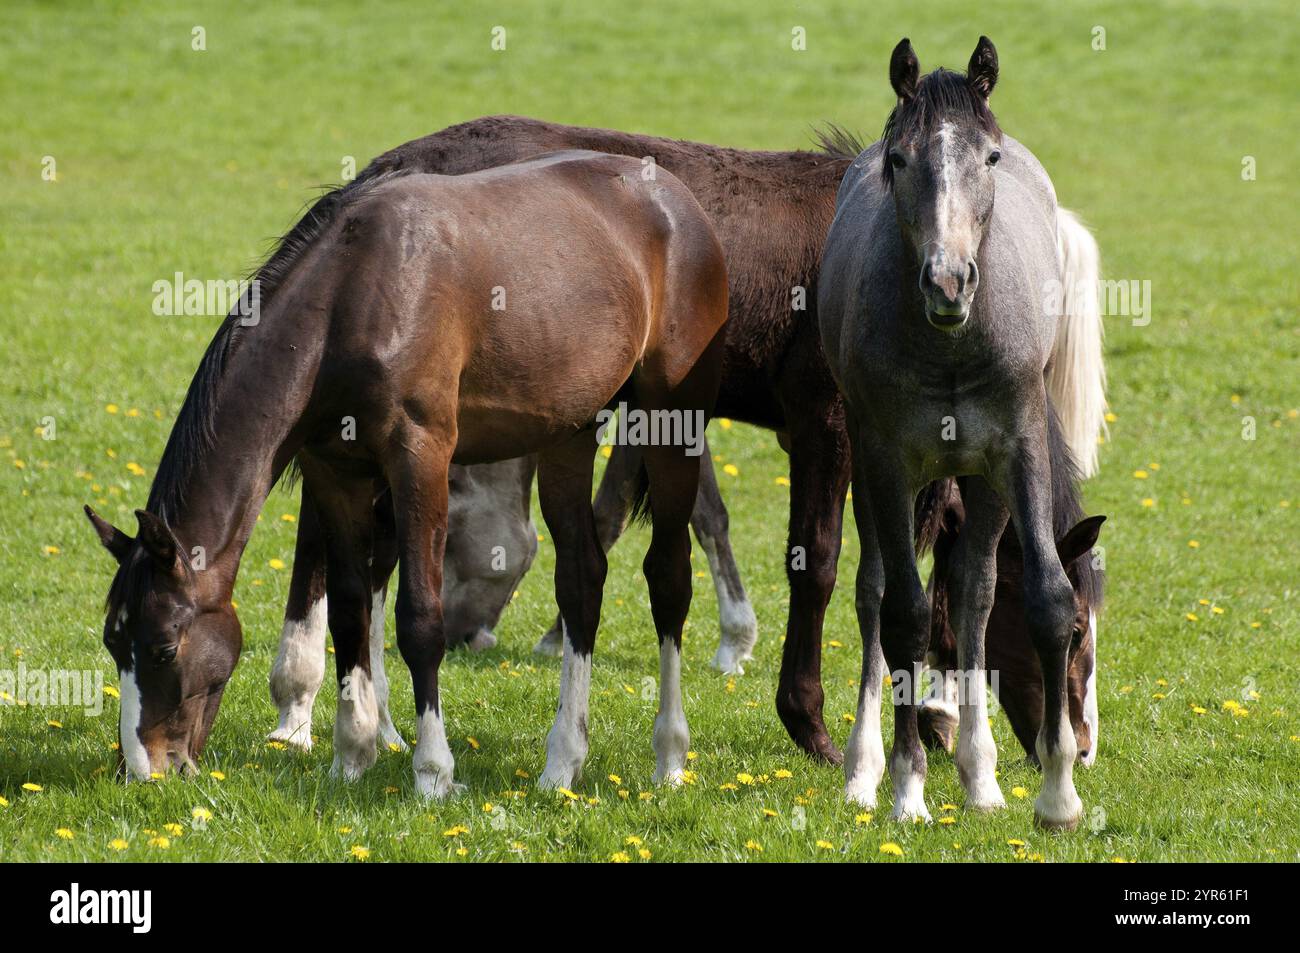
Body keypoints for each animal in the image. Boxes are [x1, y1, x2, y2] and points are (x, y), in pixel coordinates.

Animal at [86, 152, 728, 795]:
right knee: (580, 579)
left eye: (164, 648)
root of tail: (677, 201)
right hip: (567, 436)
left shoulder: (420, 458)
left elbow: (419, 619)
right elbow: (349, 610)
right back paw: (562, 761)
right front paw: (351, 756)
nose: (141, 770)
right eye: (114, 642)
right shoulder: (336, 473)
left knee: (669, 578)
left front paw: (433, 772)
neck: (351, 297)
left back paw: (670, 757)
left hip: (671, 426)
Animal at [263, 113, 1107, 764]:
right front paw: (814, 724)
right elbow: (822, 562)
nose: (1080, 747)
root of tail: (380, 175)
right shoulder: (827, 427)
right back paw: (311, 711)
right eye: (1074, 635)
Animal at [821, 39, 1097, 826]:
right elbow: (905, 613)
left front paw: (1057, 796)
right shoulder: (886, 461)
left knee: (974, 590)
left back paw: (980, 776)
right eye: (900, 159)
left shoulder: (1017, 452)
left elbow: (1036, 595)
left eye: (990, 157)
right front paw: (906, 788)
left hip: (979, 478)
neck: (950, 345)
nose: (949, 282)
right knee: (874, 590)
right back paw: (863, 770)